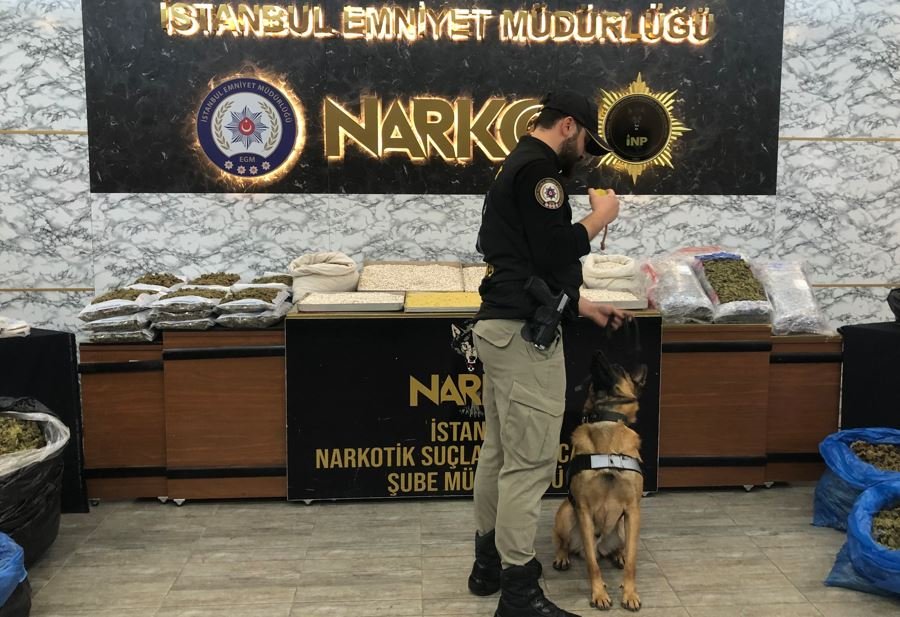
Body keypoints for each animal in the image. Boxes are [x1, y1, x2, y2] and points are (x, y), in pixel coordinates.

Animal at [552, 350, 647, 611]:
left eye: (618, 368)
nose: (596, 353)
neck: (607, 421)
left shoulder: (633, 510)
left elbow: (633, 561)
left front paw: (630, 593)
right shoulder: (583, 509)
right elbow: (592, 564)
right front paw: (599, 593)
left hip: (623, 527)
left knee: (618, 548)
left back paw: (618, 555)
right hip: (566, 513)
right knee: (567, 544)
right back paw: (562, 557)